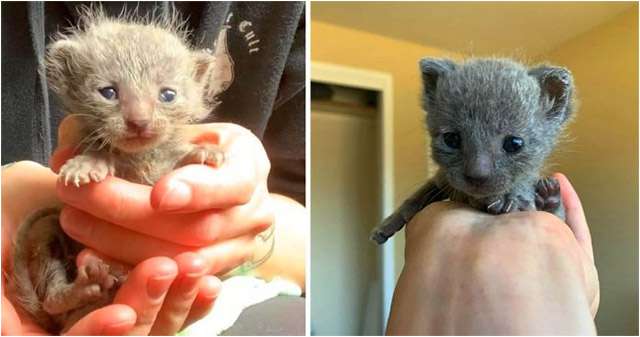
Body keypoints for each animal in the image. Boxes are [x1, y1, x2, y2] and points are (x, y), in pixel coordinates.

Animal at [9, 7, 228, 334]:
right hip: (46, 231)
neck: (138, 158)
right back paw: (82, 289)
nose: (139, 121)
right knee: (49, 299)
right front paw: (88, 163)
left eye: (167, 95)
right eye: (109, 92)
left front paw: (202, 151)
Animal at [370, 57, 576, 244]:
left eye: (514, 143)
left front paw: (511, 198)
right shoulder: (441, 179)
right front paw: (387, 224)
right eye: (451, 139)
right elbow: (416, 196)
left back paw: (549, 195)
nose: (477, 175)